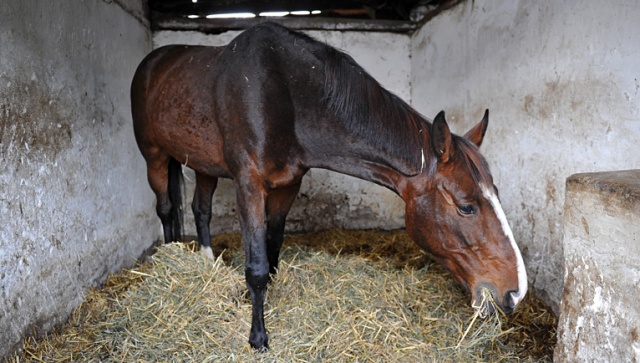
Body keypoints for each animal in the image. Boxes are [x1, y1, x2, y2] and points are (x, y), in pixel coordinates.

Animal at [130, 21, 524, 352]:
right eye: (466, 206)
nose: (516, 293)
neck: (285, 94)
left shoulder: (288, 185)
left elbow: (272, 249)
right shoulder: (248, 184)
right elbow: (256, 265)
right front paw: (258, 337)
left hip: (203, 163)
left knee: (201, 209)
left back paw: (207, 262)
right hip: (154, 155)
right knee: (166, 208)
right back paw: (171, 256)